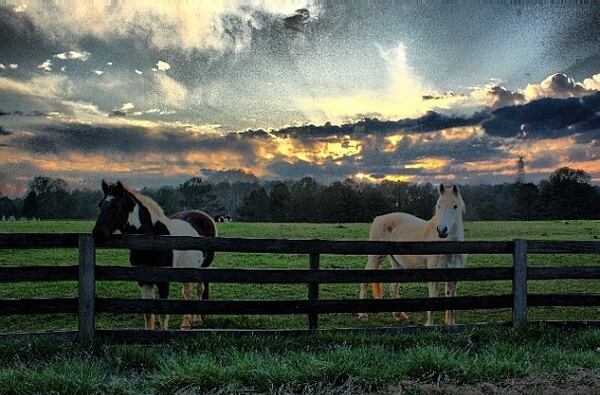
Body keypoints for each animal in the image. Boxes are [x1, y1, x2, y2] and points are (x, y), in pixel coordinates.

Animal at [91, 181, 216, 330]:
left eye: (115, 206)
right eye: (100, 205)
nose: (97, 233)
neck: (152, 240)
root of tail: (203, 216)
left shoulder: (163, 281)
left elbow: (162, 314)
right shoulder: (143, 281)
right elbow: (148, 313)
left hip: (203, 268)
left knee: (198, 290)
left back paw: (196, 320)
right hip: (187, 269)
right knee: (187, 292)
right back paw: (186, 323)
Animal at [358, 184, 466, 326]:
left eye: (455, 206)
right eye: (439, 206)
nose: (442, 230)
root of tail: (378, 218)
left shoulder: (453, 274)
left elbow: (451, 298)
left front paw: (450, 323)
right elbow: (433, 297)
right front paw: (429, 325)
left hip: (397, 262)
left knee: (393, 286)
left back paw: (400, 315)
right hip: (376, 258)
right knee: (365, 280)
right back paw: (362, 315)